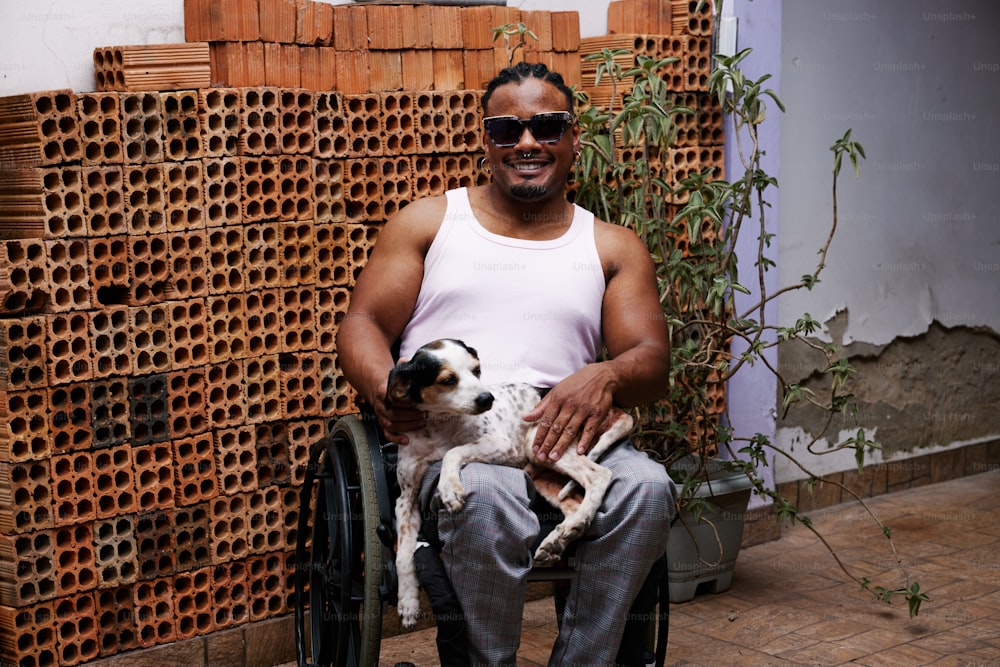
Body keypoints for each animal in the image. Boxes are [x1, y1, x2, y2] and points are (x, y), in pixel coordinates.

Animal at [384, 342, 632, 628]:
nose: (487, 399)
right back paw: (559, 538)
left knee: (599, 475)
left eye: (477, 370)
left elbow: (453, 452)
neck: (439, 426)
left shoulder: (501, 446)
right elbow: (403, 555)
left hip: (538, 443)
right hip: (542, 470)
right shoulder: (406, 498)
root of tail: (616, 409)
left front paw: (449, 487)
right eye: (447, 380)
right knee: (574, 504)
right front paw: (407, 603)